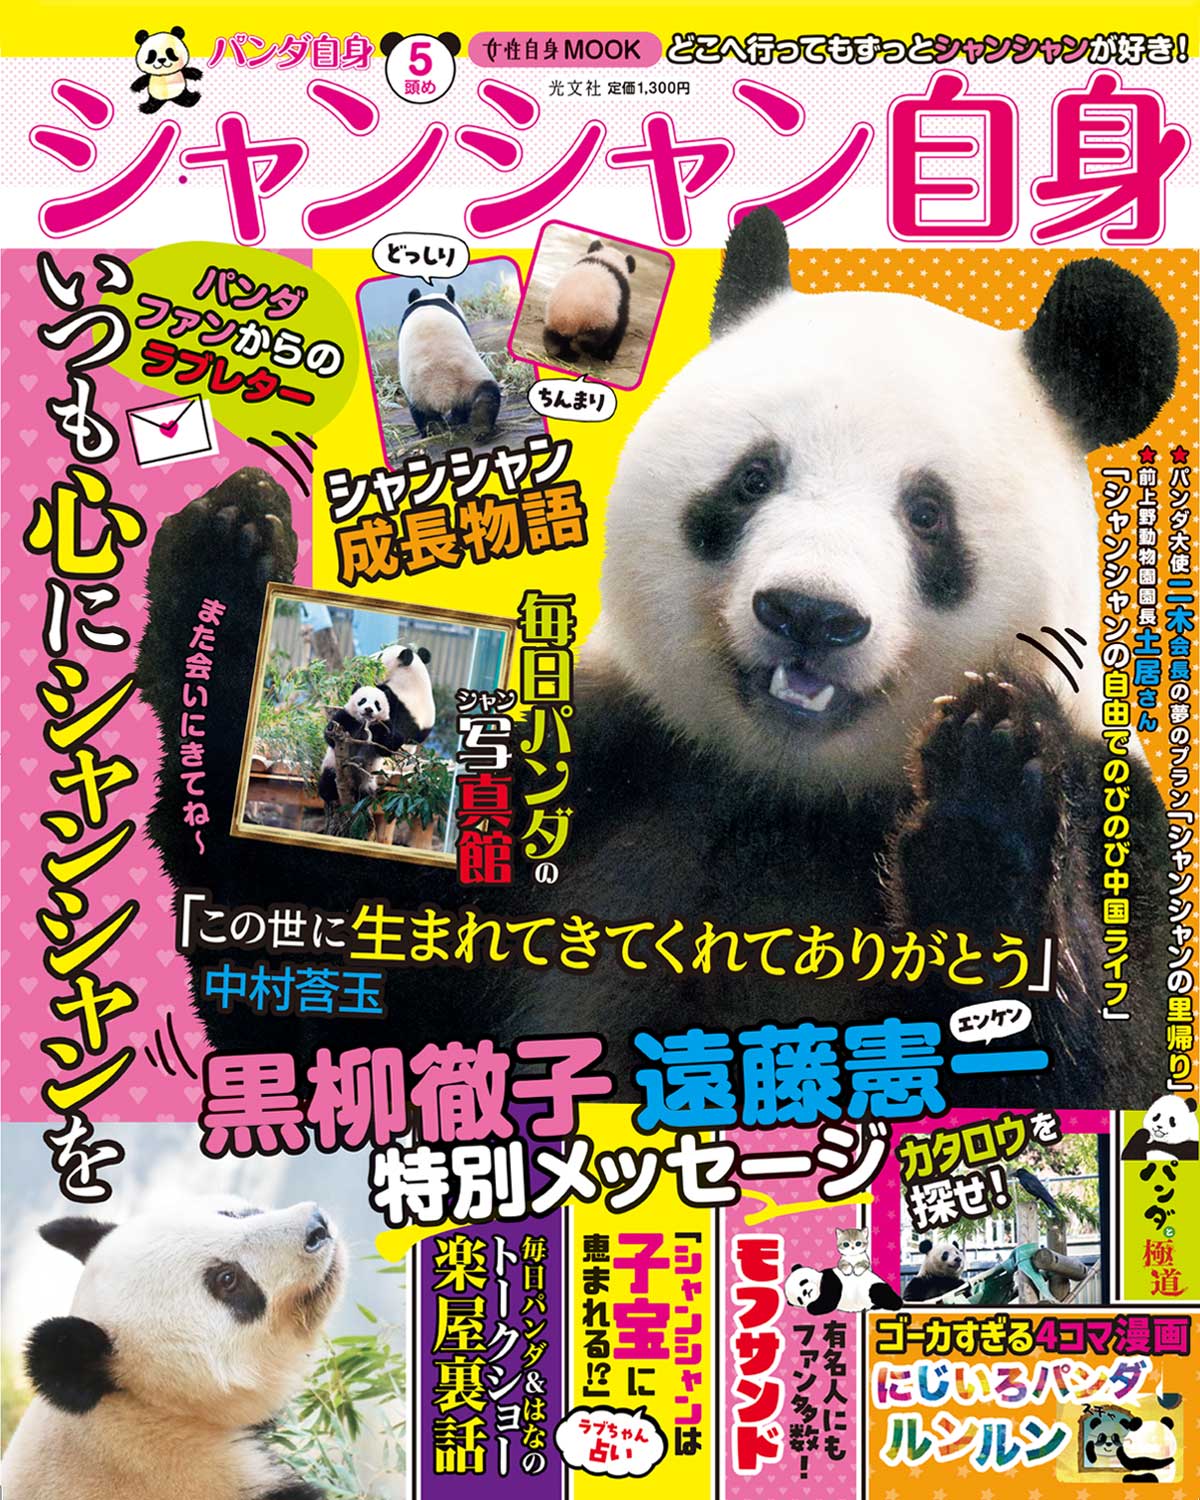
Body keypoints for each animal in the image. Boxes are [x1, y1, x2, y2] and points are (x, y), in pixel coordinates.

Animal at [397, 285, 501, 439]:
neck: (428, 302)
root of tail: (442, 385)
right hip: (460, 379)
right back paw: (477, 426)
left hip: (425, 390)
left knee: (424, 415)